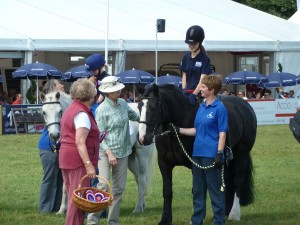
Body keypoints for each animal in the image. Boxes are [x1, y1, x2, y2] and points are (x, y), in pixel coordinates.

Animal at [137, 84, 256, 225]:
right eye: (139, 107)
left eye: (153, 107)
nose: (143, 138)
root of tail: (244, 105)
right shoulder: (164, 164)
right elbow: (167, 191)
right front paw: (165, 219)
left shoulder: (196, 164)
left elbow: (197, 191)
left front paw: (195, 218)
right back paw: (225, 211)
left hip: (242, 153)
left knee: (237, 180)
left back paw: (234, 214)